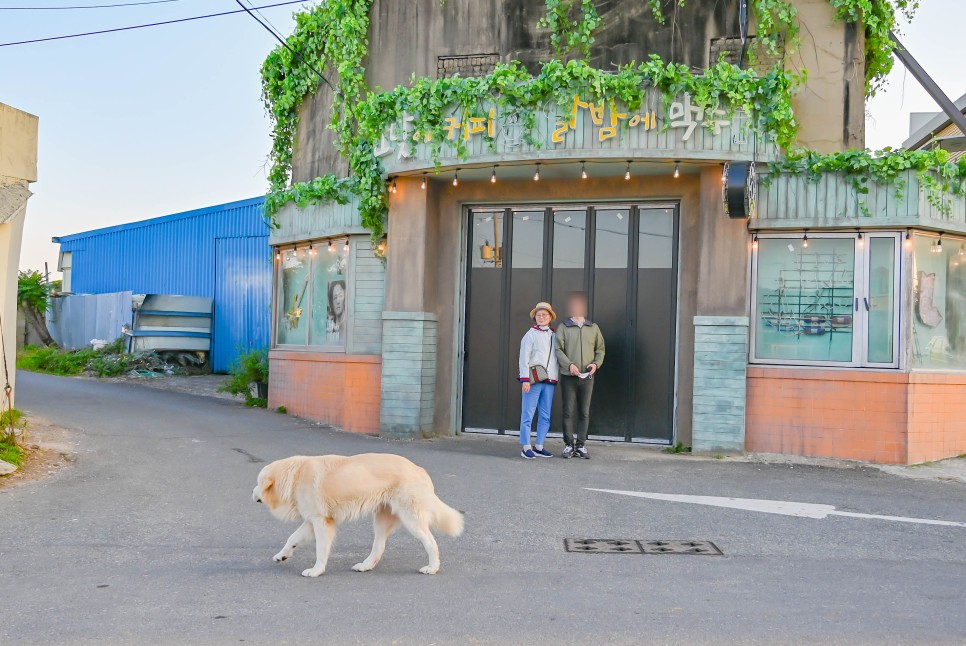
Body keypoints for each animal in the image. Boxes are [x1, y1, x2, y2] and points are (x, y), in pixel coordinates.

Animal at [253, 456, 466, 576]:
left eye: (257, 483)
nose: (251, 492)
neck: (295, 475)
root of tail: (421, 470)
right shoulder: (312, 521)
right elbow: (292, 538)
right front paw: (282, 555)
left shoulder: (321, 522)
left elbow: (320, 550)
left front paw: (316, 571)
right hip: (381, 520)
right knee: (379, 546)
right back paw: (365, 566)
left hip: (411, 519)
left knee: (431, 543)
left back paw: (432, 567)